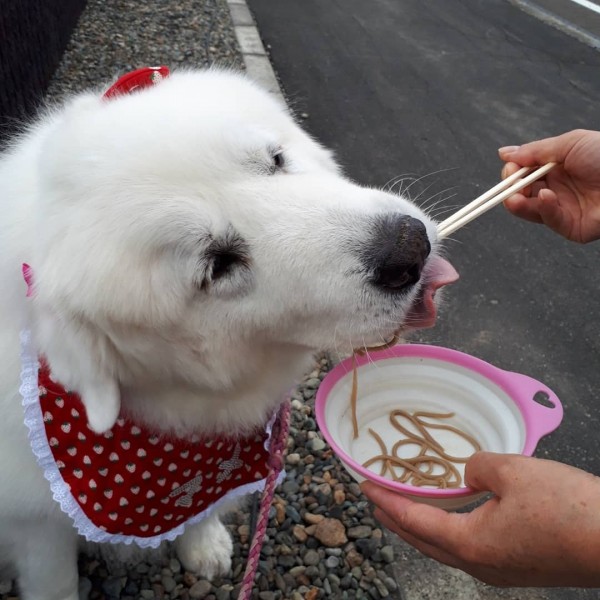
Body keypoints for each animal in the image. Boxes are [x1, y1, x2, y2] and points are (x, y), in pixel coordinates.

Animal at [0, 69, 454, 600]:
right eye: (218, 265)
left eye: (275, 160)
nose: (408, 247)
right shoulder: (37, 526)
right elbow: (55, 580)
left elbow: (202, 508)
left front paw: (204, 545)